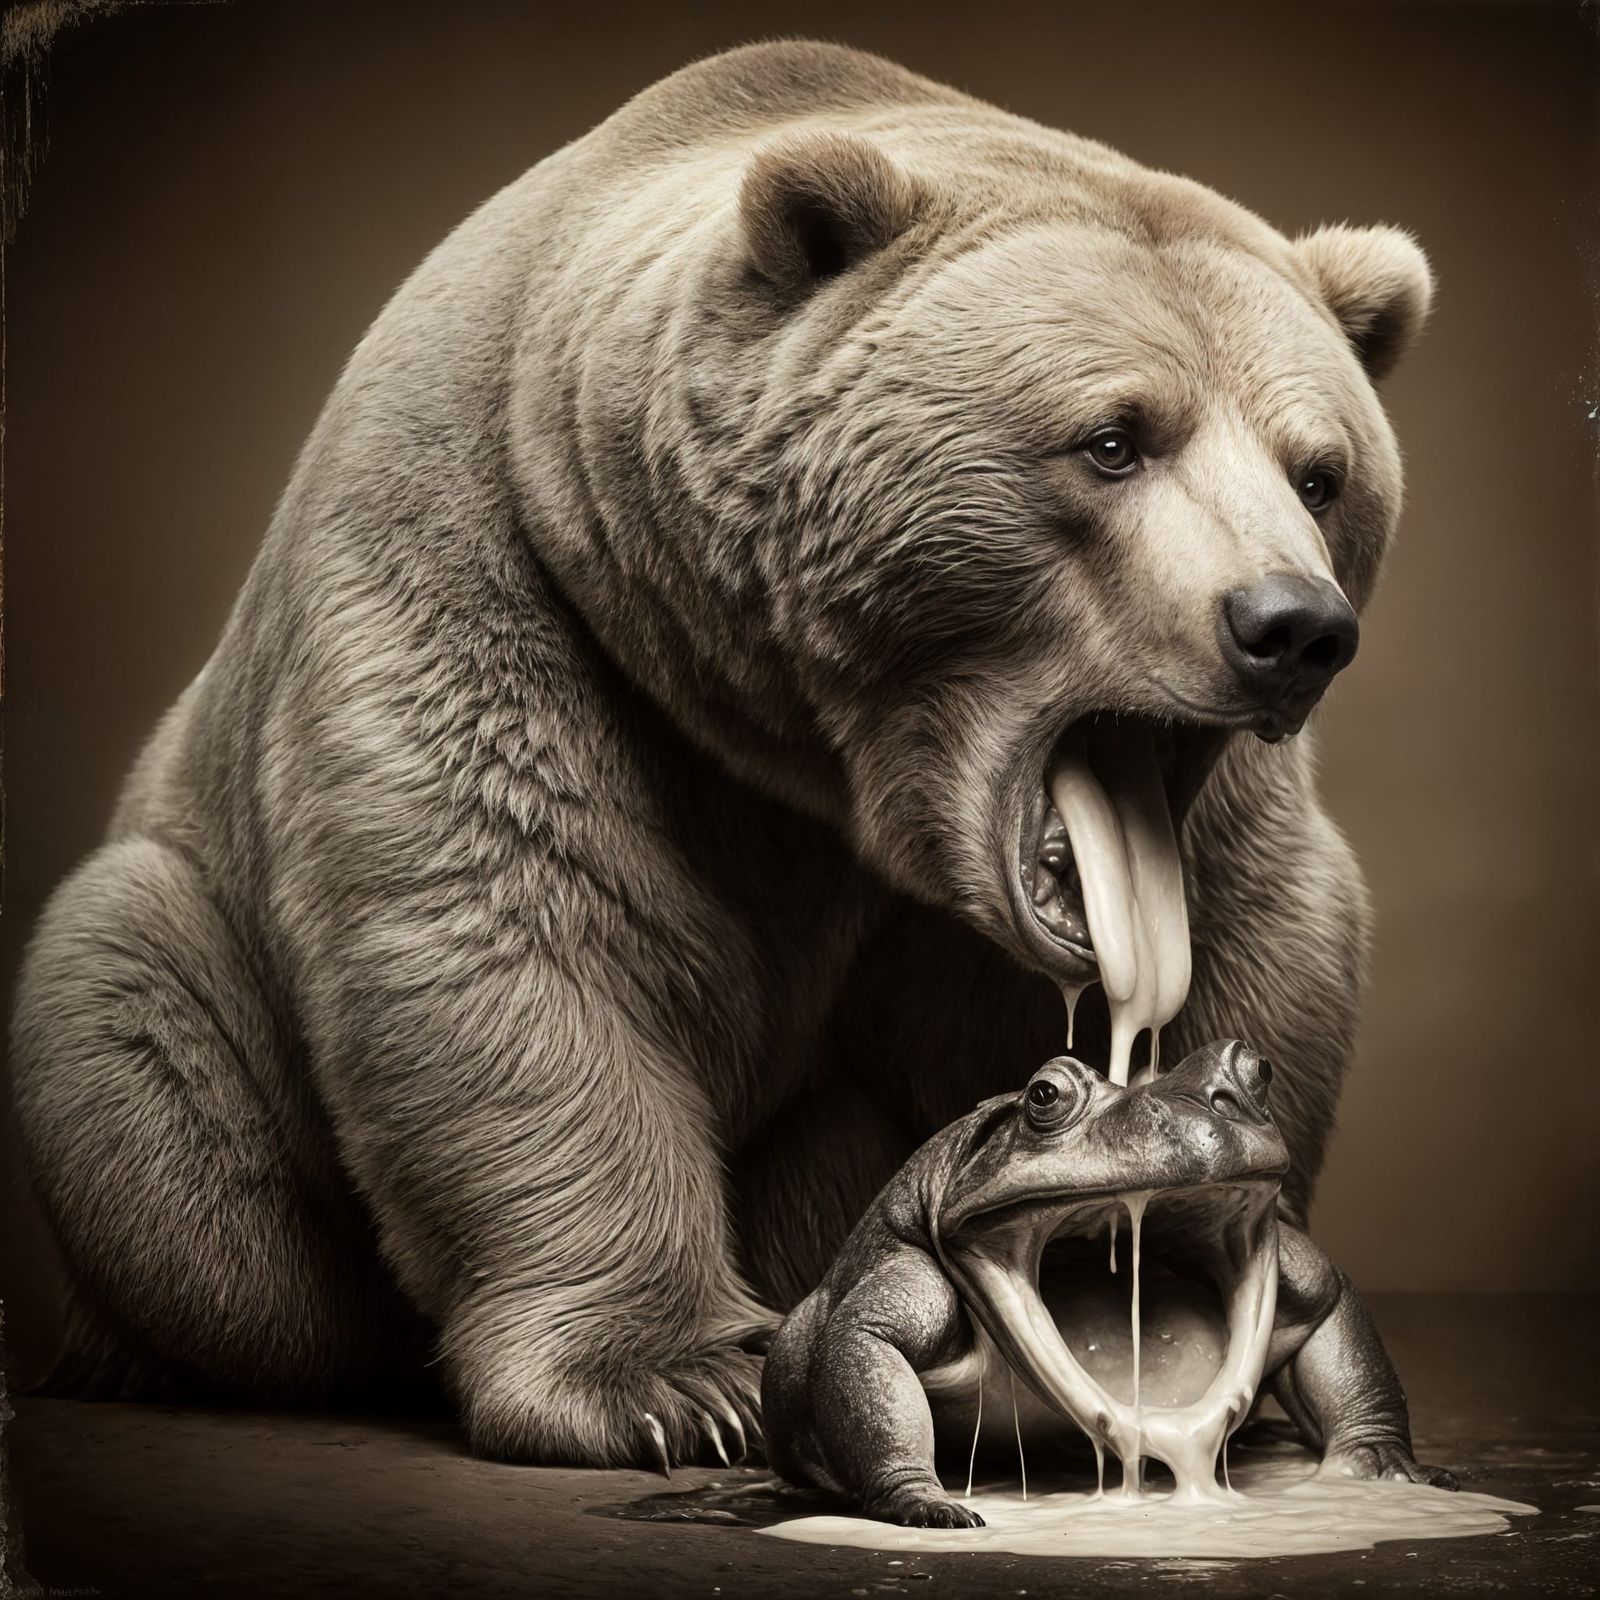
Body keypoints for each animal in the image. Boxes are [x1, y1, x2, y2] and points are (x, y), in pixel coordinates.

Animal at [11, 40, 1432, 1469]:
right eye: (1113, 438)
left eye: (1319, 473)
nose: (1290, 625)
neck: (820, 755)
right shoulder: (506, 581)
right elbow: (508, 924)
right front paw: (675, 1382)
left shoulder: (1203, 822)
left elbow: (1266, 949)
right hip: (191, 977)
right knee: (145, 1070)